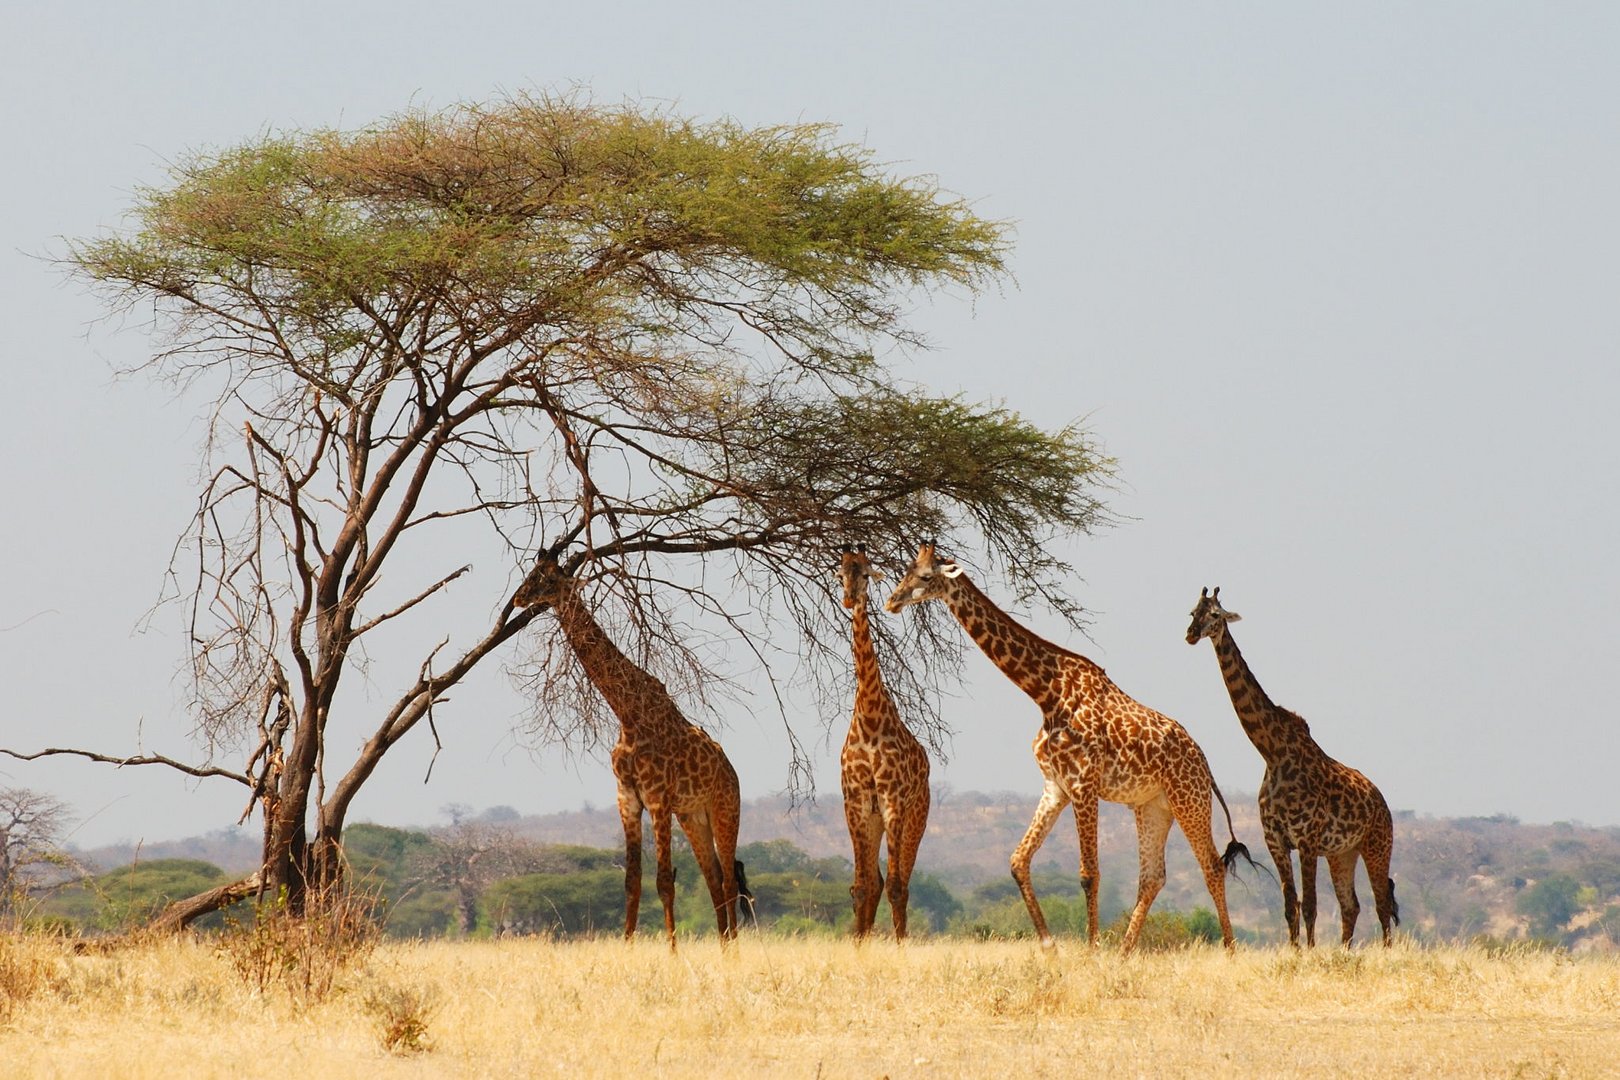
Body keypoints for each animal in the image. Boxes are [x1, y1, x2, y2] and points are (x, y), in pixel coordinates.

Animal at [511, 563, 751, 952]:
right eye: (531, 571)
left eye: (545, 577)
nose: (518, 597)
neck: (628, 714)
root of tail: (732, 772)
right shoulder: (628, 798)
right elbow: (631, 882)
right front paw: (627, 948)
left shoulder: (657, 798)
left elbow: (664, 882)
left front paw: (672, 953)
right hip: (693, 816)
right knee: (714, 878)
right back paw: (724, 946)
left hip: (725, 809)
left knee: (730, 880)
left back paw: (733, 952)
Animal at [887, 544, 1250, 952]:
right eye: (906, 570)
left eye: (925, 577)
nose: (891, 601)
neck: (1046, 693)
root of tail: (1204, 762)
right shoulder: (1055, 787)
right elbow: (1018, 861)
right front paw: (1050, 946)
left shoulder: (1083, 784)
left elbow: (1089, 873)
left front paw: (1091, 951)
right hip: (1153, 806)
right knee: (1153, 876)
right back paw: (1124, 953)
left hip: (1189, 800)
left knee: (1211, 865)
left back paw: (1229, 951)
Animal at [1185, 586, 1399, 952]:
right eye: (1192, 613)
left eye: (1214, 615)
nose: (1190, 635)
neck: (1272, 753)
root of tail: (1381, 801)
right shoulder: (1276, 840)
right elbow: (1290, 905)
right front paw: (1296, 952)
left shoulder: (1308, 839)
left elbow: (1310, 904)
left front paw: (1309, 954)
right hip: (1343, 853)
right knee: (1351, 905)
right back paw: (1345, 951)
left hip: (1377, 843)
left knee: (1381, 902)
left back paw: (1385, 953)